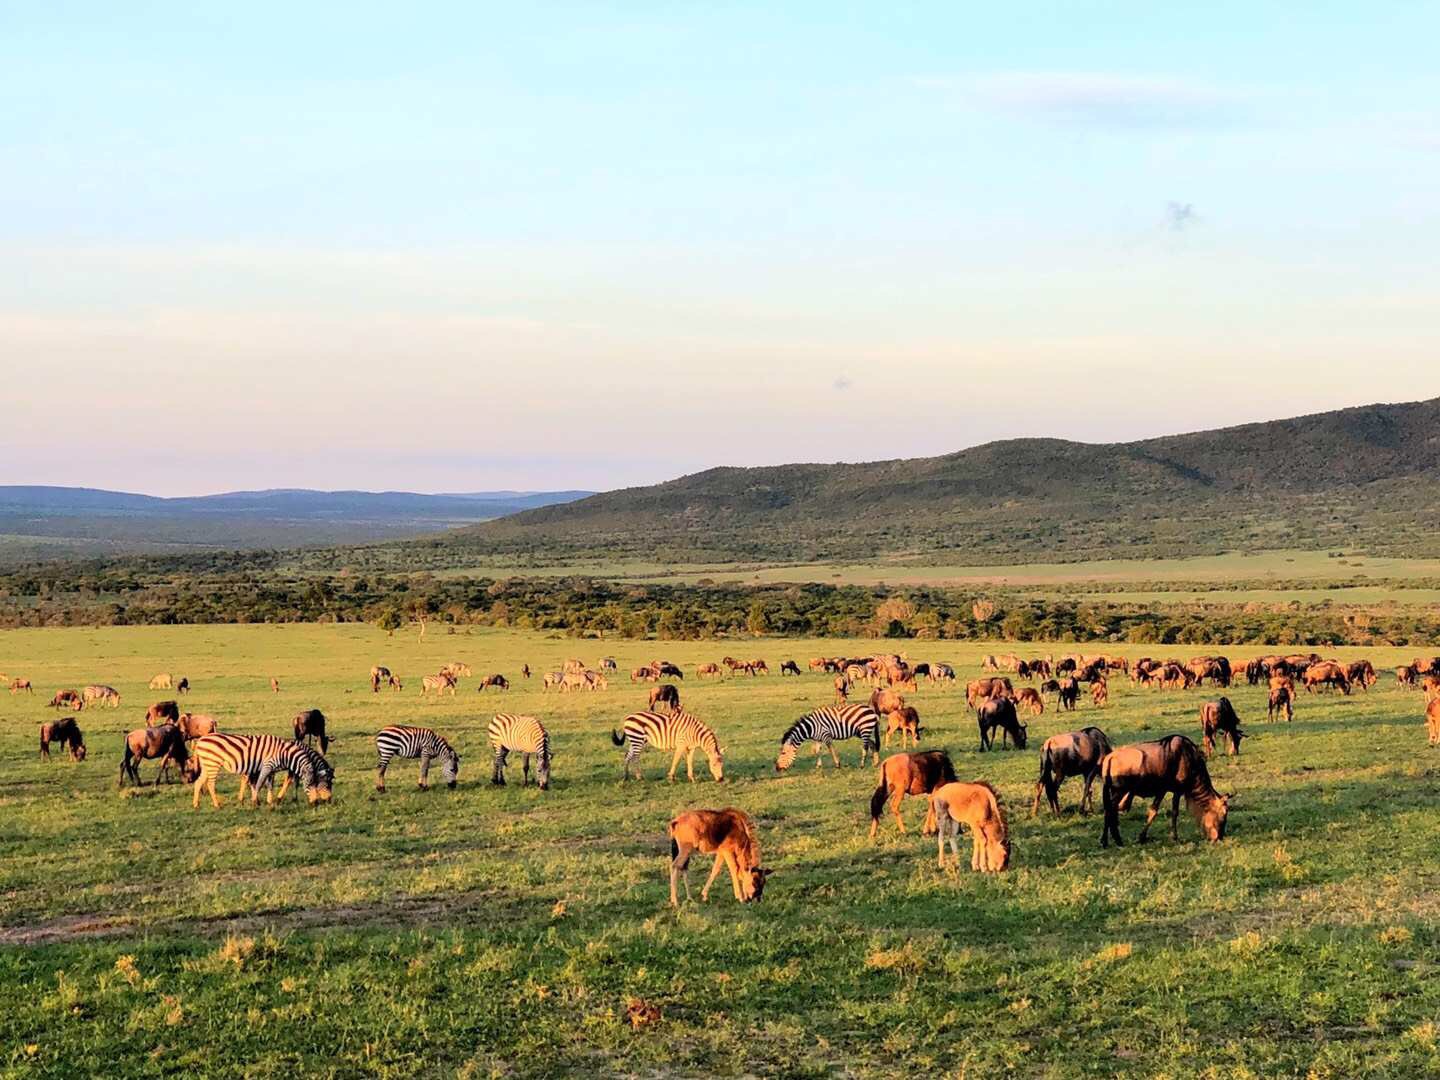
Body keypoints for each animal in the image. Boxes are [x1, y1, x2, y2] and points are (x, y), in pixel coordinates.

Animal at [190, 737, 335, 812]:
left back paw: (196, 804)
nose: (319, 803)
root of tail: (201, 740)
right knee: (210, 784)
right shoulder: (267, 766)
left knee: (198, 782)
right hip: (212, 763)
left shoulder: (272, 770)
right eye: (326, 784)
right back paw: (217, 805)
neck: (286, 752)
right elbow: (260, 784)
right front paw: (256, 802)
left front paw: (271, 802)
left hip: (207, 765)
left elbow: (270, 785)